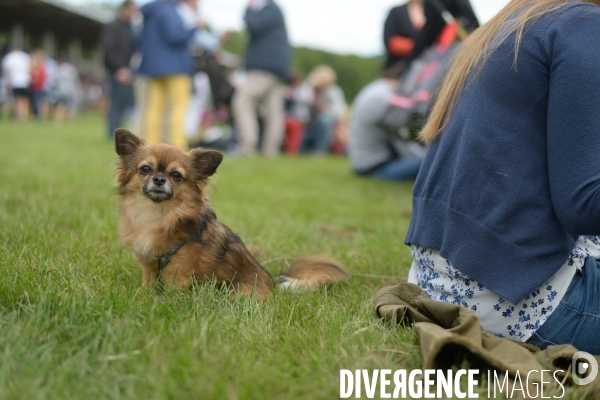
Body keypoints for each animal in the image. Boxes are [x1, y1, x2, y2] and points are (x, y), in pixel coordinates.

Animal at [115, 129, 350, 300]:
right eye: (145, 169)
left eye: (176, 175)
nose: (159, 179)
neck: (159, 214)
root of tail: (271, 283)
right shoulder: (149, 266)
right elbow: (147, 284)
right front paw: (144, 298)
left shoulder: (178, 274)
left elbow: (173, 292)